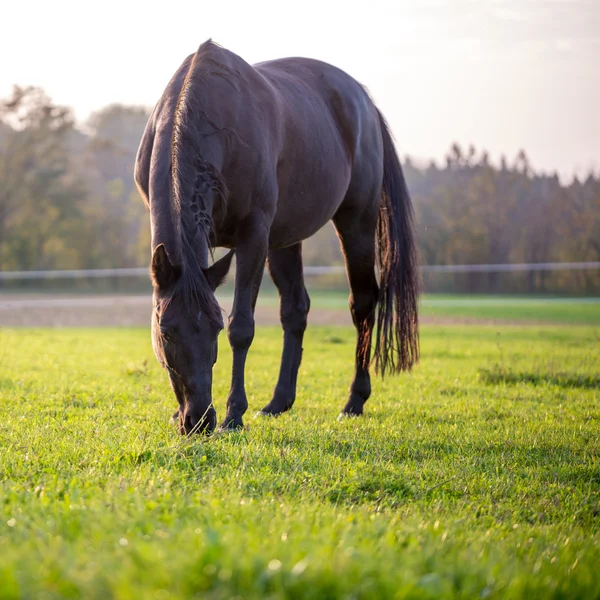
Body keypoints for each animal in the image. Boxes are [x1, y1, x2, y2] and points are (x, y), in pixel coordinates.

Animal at [135, 39, 418, 434]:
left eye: (215, 328)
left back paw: (353, 401)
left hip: (356, 223)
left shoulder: (253, 237)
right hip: (285, 239)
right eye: (165, 332)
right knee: (296, 309)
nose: (198, 419)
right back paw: (277, 403)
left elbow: (242, 327)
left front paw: (233, 415)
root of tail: (364, 101)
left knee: (362, 304)